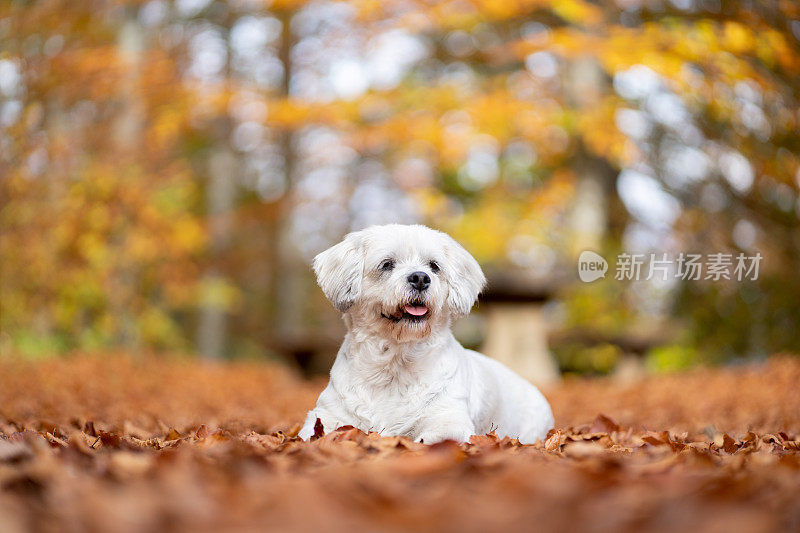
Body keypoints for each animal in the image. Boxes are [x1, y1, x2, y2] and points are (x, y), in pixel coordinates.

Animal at [296, 222, 552, 442]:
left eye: (434, 266)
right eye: (387, 264)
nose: (420, 277)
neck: (394, 364)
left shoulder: (448, 419)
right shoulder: (326, 416)